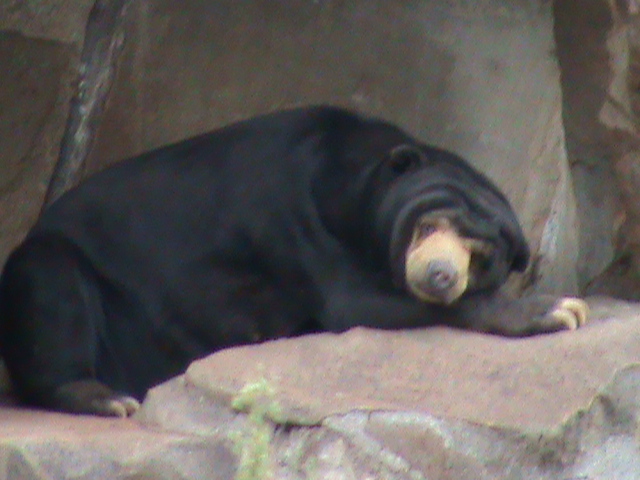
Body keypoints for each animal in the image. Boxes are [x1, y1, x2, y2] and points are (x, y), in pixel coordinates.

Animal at [0, 106, 587, 417]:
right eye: (429, 226)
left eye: (479, 254)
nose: (439, 276)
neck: (347, 184)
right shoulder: (294, 219)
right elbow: (355, 303)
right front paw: (555, 308)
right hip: (60, 266)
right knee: (54, 293)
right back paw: (106, 397)